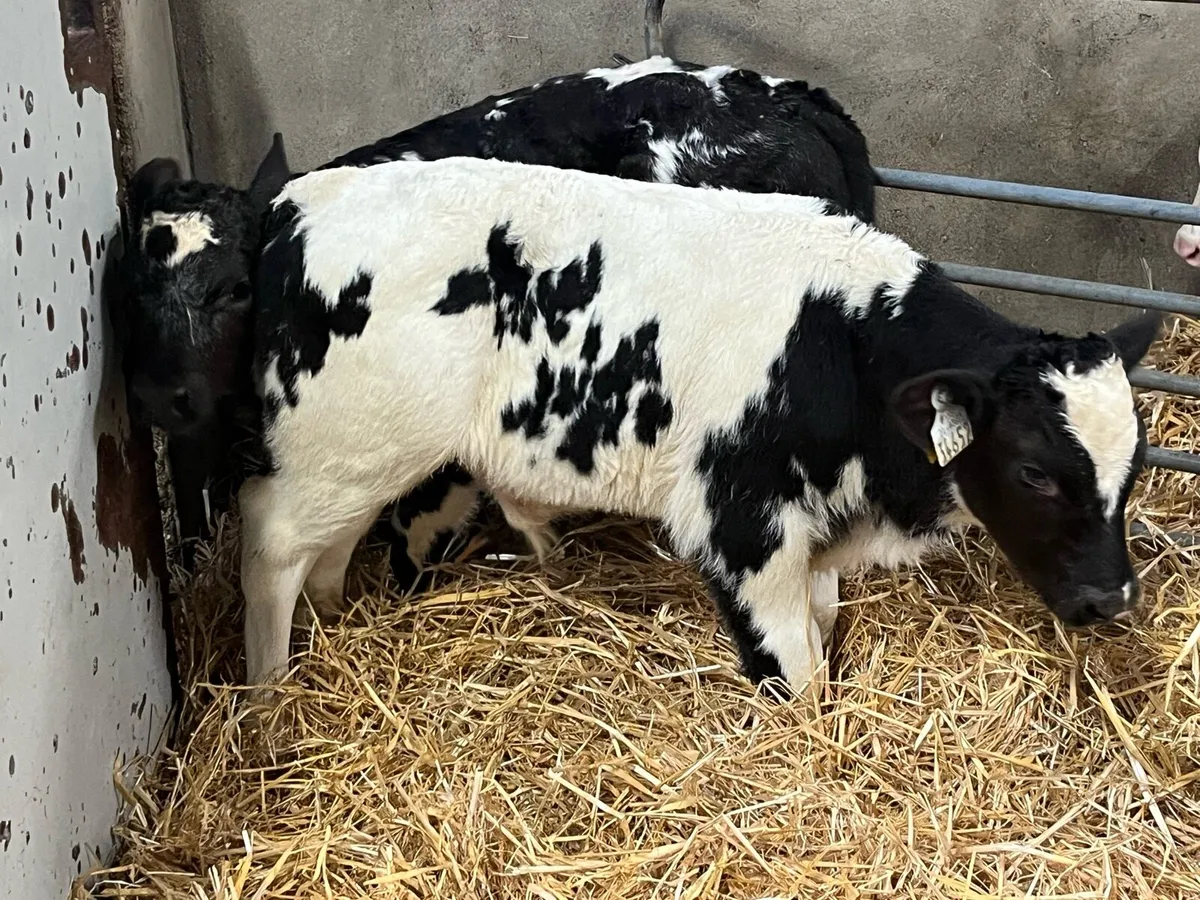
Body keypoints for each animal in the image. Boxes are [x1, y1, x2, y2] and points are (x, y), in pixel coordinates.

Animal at [233, 154, 1159, 692]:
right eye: (1035, 471)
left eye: (1137, 466)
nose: (1112, 599)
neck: (847, 339)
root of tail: (300, 200)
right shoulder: (743, 520)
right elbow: (796, 668)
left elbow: (825, 625)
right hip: (343, 444)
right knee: (270, 545)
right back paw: (269, 699)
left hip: (359, 454)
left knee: (330, 546)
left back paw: (331, 628)